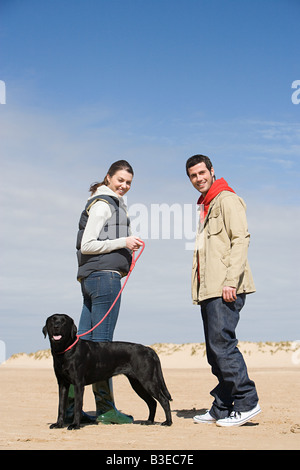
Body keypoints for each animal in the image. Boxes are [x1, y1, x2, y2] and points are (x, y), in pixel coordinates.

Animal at [43, 314, 172, 428]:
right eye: (52, 320)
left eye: (64, 321)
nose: (56, 326)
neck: (65, 350)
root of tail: (149, 349)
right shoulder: (62, 384)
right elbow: (61, 406)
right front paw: (58, 424)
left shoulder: (78, 384)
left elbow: (78, 406)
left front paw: (75, 425)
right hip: (137, 384)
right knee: (152, 402)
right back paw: (149, 421)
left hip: (148, 381)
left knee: (164, 400)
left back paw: (168, 422)